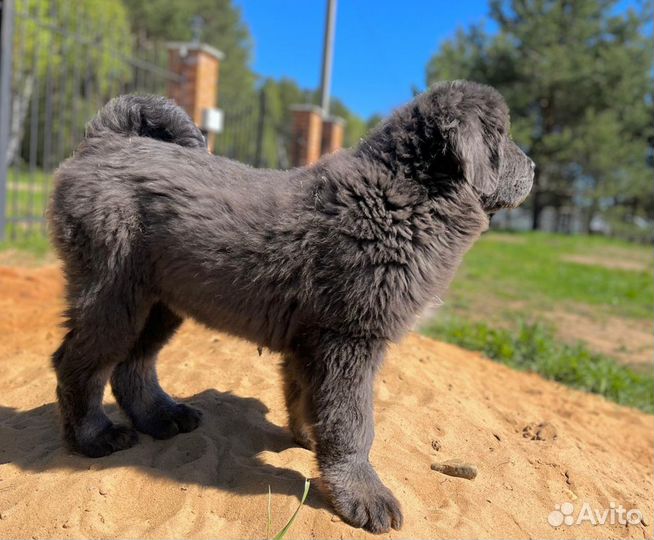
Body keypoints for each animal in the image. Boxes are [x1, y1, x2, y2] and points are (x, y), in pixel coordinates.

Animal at [48, 80, 536, 532]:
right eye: (503, 136)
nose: (533, 166)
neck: (400, 197)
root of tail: (105, 140)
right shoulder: (349, 340)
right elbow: (353, 424)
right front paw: (362, 494)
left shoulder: (314, 341)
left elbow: (305, 398)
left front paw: (309, 441)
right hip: (114, 294)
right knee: (78, 364)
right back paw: (94, 436)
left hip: (159, 303)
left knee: (133, 366)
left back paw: (162, 416)